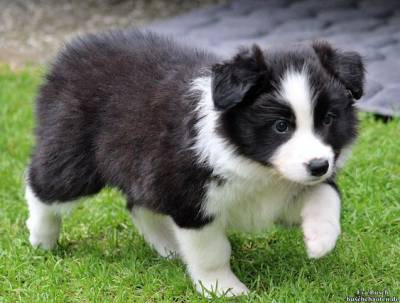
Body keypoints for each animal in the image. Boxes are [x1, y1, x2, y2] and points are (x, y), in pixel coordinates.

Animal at [25, 30, 362, 296]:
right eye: (281, 126)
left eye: (328, 119)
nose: (318, 166)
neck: (258, 166)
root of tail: (71, 52)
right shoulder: (191, 200)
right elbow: (212, 251)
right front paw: (224, 288)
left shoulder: (280, 194)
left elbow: (326, 195)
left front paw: (320, 239)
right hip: (74, 157)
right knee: (41, 185)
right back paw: (41, 238)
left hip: (145, 168)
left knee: (139, 204)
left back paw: (169, 246)